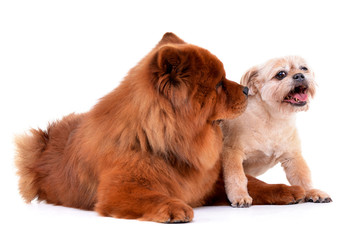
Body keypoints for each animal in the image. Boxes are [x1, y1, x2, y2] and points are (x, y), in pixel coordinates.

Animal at [15, 32, 306, 222]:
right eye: (218, 84)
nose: (246, 90)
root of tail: (45, 139)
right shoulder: (118, 190)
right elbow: (149, 195)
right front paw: (175, 208)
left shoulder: (210, 182)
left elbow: (253, 183)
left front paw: (289, 190)